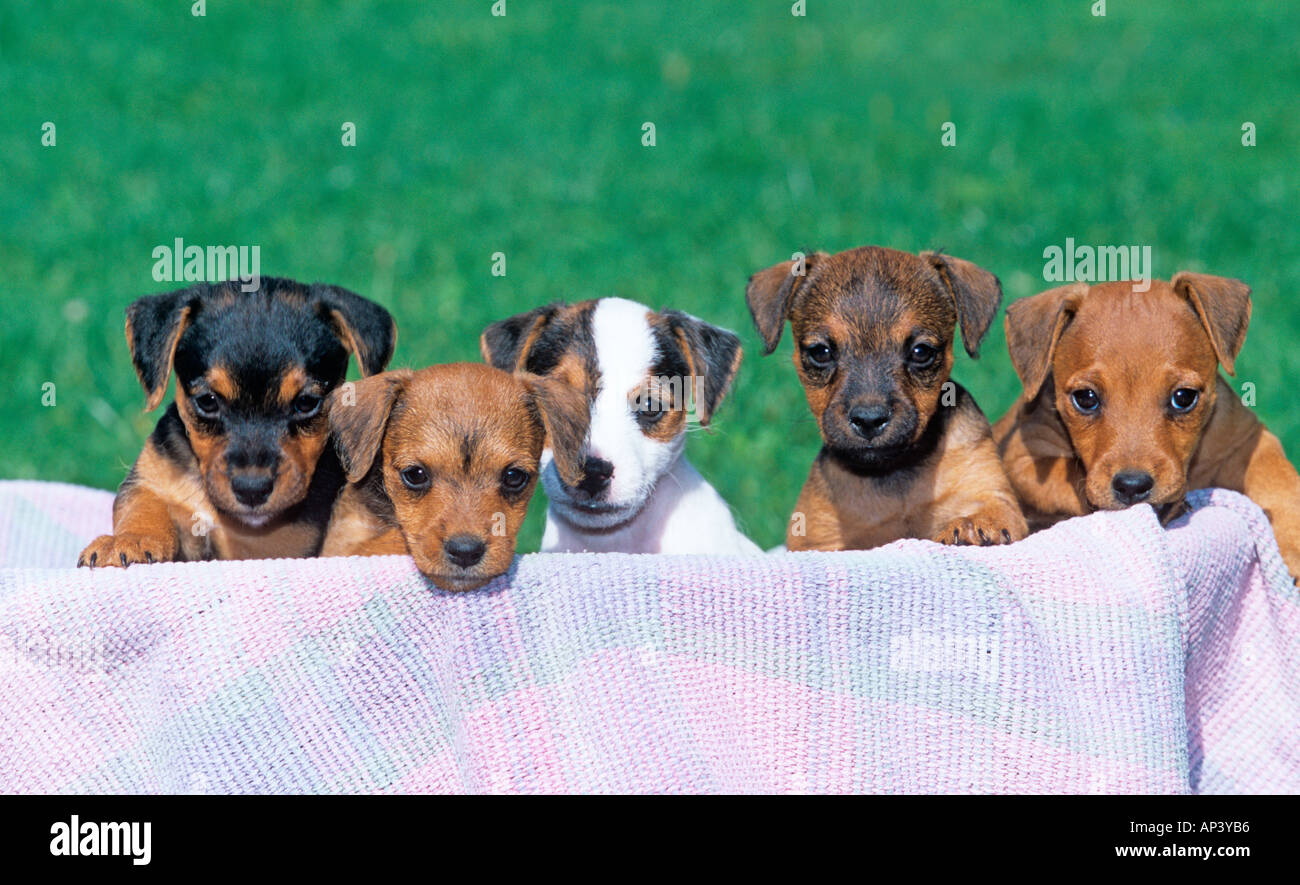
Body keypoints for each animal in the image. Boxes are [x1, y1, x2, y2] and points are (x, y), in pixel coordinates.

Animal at [74, 275, 390, 566]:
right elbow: (142, 507)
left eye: (306, 403)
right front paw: (127, 541)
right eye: (207, 401)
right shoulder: (150, 479)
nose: (252, 490)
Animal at [748, 246, 1029, 551]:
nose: (869, 420)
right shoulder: (818, 539)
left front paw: (973, 527)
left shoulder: (992, 494)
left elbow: (988, 513)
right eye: (820, 352)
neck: (893, 471)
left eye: (921, 351)